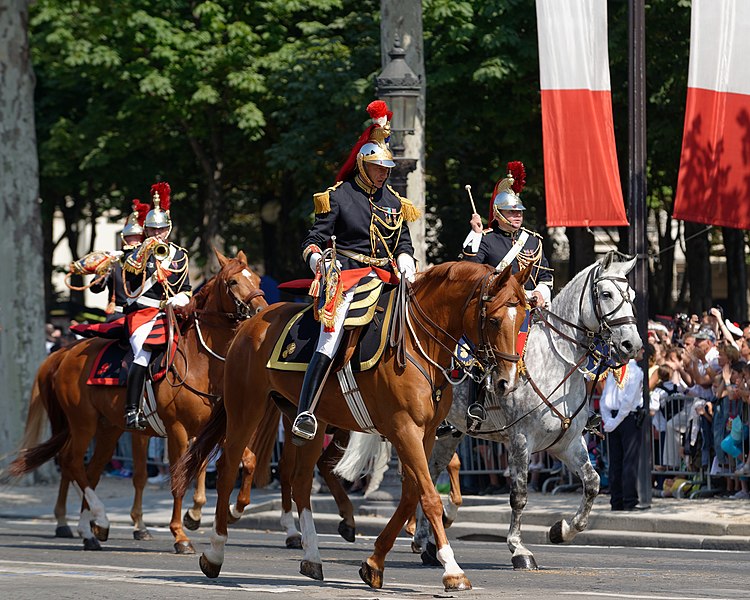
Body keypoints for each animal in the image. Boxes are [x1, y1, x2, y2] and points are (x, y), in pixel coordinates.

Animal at [9, 248, 268, 552]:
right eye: (233, 282)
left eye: (257, 278)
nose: (262, 312)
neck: (202, 362)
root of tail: (67, 353)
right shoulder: (178, 431)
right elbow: (177, 478)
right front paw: (180, 535)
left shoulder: (215, 429)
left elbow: (245, 461)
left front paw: (229, 511)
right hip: (83, 423)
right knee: (72, 463)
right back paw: (97, 520)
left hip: (108, 429)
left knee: (91, 471)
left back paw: (90, 530)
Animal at [174, 262, 532, 592]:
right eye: (495, 319)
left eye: (523, 318)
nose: (507, 382)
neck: (417, 344)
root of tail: (251, 322)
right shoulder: (404, 430)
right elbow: (428, 496)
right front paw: (452, 569)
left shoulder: (425, 433)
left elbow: (412, 494)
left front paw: (374, 563)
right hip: (246, 410)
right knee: (228, 469)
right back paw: (215, 552)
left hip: (310, 423)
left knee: (300, 479)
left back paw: (312, 557)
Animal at [408, 254, 644, 572]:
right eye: (606, 294)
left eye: (631, 296)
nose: (633, 345)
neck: (557, 363)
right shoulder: (521, 439)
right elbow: (519, 495)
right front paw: (518, 549)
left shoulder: (566, 443)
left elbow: (593, 483)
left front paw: (561, 530)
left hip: (447, 434)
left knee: (430, 473)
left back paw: (426, 543)